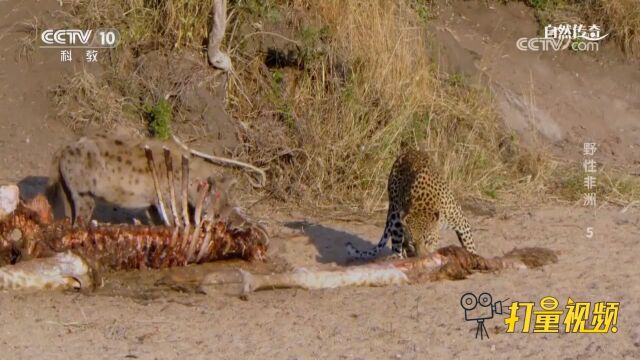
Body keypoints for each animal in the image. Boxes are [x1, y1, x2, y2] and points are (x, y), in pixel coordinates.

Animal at [344, 148, 476, 260]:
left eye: (428, 240)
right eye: (413, 243)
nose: (422, 257)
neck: (423, 205)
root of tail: (408, 151)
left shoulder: (461, 223)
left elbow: (469, 245)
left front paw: (474, 258)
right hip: (396, 220)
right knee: (397, 247)